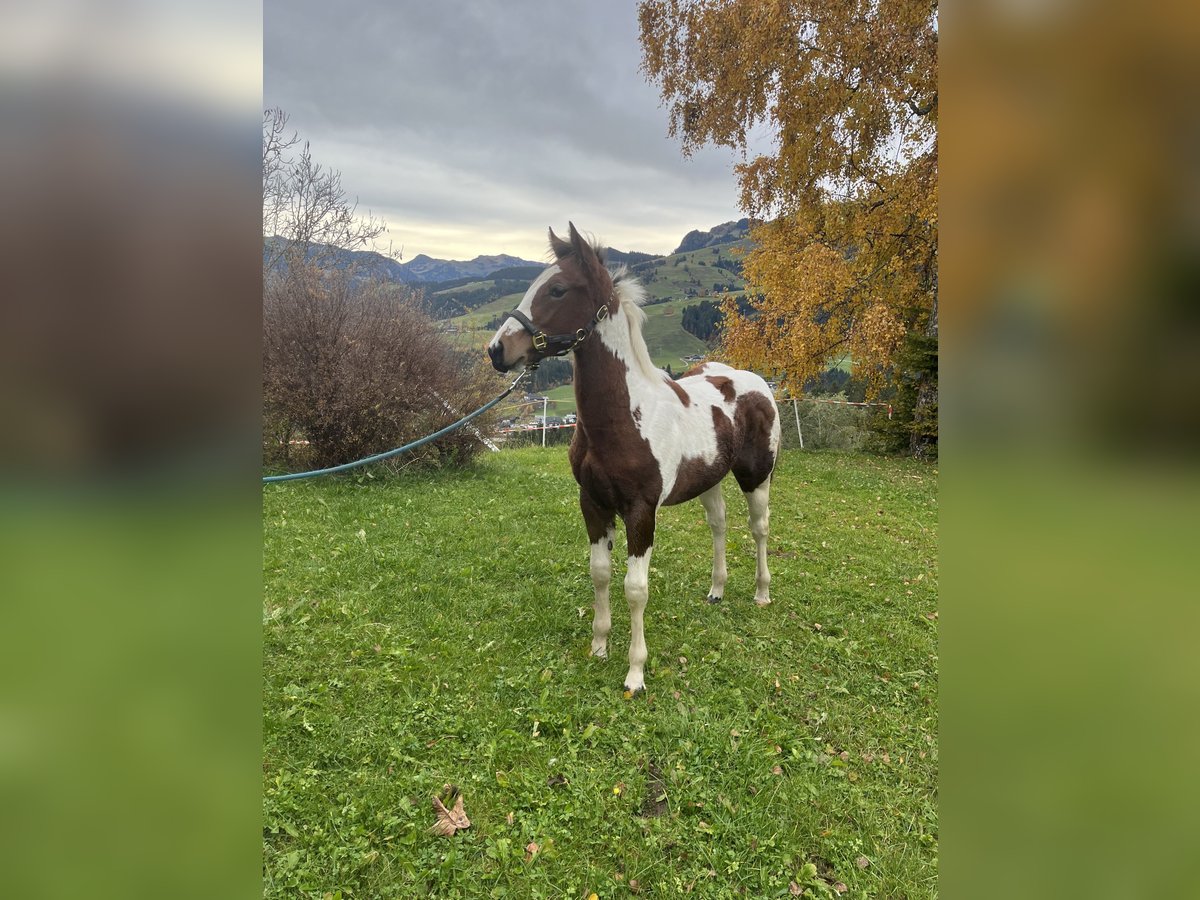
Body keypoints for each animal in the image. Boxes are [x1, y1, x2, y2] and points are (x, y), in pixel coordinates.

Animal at [487, 223, 781, 693]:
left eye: (557, 289)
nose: (497, 350)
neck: (625, 416)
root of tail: (756, 382)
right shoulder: (593, 504)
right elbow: (600, 573)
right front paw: (599, 646)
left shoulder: (641, 511)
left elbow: (636, 588)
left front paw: (635, 673)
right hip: (710, 479)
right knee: (719, 525)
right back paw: (717, 590)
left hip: (757, 475)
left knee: (759, 529)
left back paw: (761, 593)